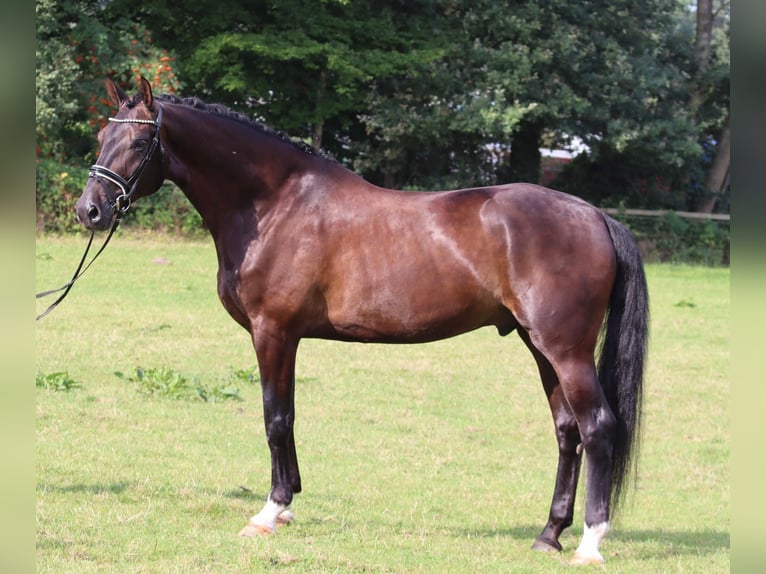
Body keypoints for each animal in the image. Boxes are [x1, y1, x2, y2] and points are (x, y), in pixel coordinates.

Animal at [75, 77, 648, 568]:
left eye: (139, 142)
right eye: (103, 137)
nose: (90, 211)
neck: (273, 204)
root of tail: (595, 215)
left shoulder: (273, 332)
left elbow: (275, 419)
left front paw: (269, 512)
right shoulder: (286, 336)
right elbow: (287, 417)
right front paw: (288, 504)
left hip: (566, 350)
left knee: (598, 427)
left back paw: (590, 544)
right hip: (539, 346)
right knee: (567, 431)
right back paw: (549, 534)